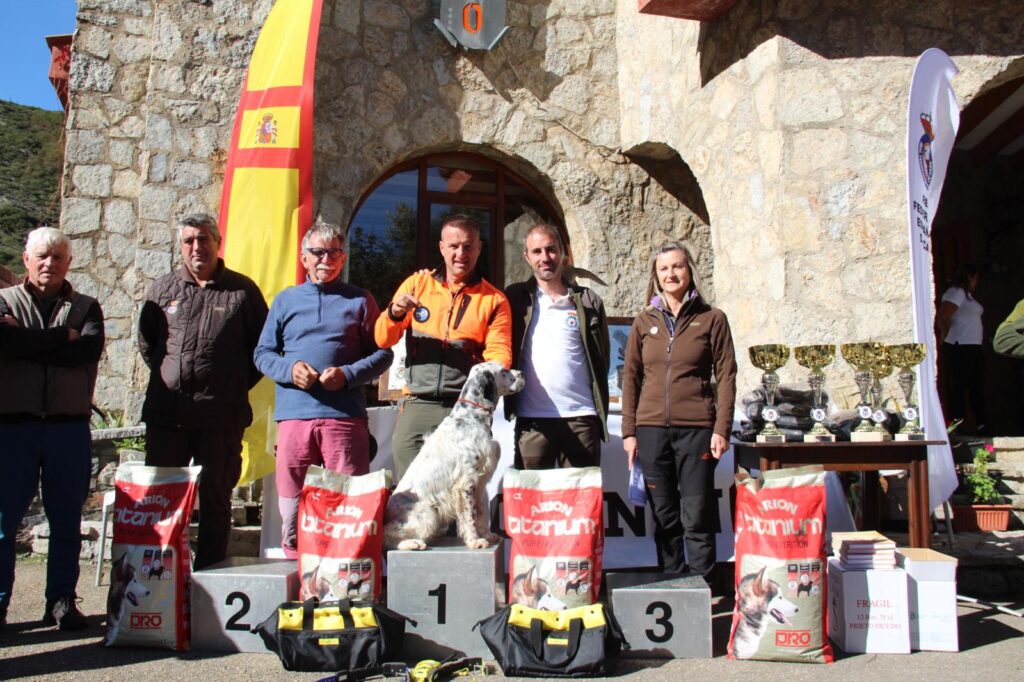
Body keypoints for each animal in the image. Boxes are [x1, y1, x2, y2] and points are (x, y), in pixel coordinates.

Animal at [387, 360, 524, 548]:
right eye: (504, 371)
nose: (522, 373)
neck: (470, 416)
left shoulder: (480, 480)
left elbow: (481, 512)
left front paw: (487, 535)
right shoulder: (465, 482)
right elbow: (469, 515)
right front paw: (475, 541)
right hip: (426, 513)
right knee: (389, 537)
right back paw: (412, 543)